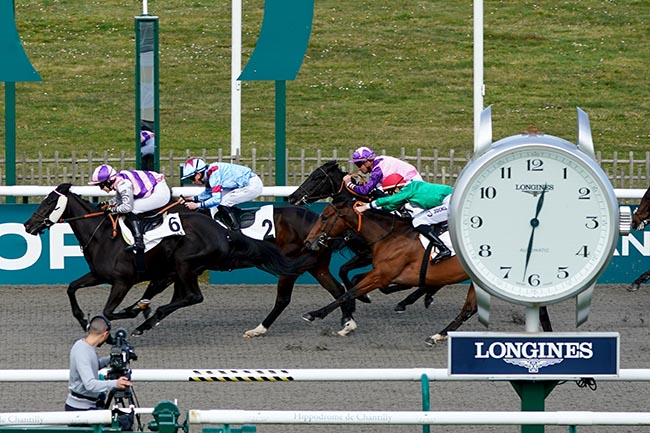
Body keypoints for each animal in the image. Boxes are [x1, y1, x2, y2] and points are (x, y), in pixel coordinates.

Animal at [22, 181, 354, 334]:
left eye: (48, 202)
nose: (27, 225)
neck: (106, 235)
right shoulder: (101, 275)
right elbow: (72, 288)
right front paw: (85, 318)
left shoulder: (123, 281)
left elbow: (108, 310)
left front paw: (128, 314)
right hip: (314, 265)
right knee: (336, 290)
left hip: (186, 264)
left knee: (194, 297)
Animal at [286, 159, 428, 310]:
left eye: (317, 177)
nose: (292, 197)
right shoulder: (363, 254)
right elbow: (343, 271)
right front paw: (361, 297)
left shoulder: (369, 255)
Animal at [302, 194, 548, 342]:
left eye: (324, 217)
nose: (308, 241)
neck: (389, 235)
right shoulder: (387, 274)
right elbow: (354, 285)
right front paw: (349, 319)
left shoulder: (383, 275)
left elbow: (350, 292)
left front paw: (316, 314)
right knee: (469, 309)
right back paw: (438, 334)